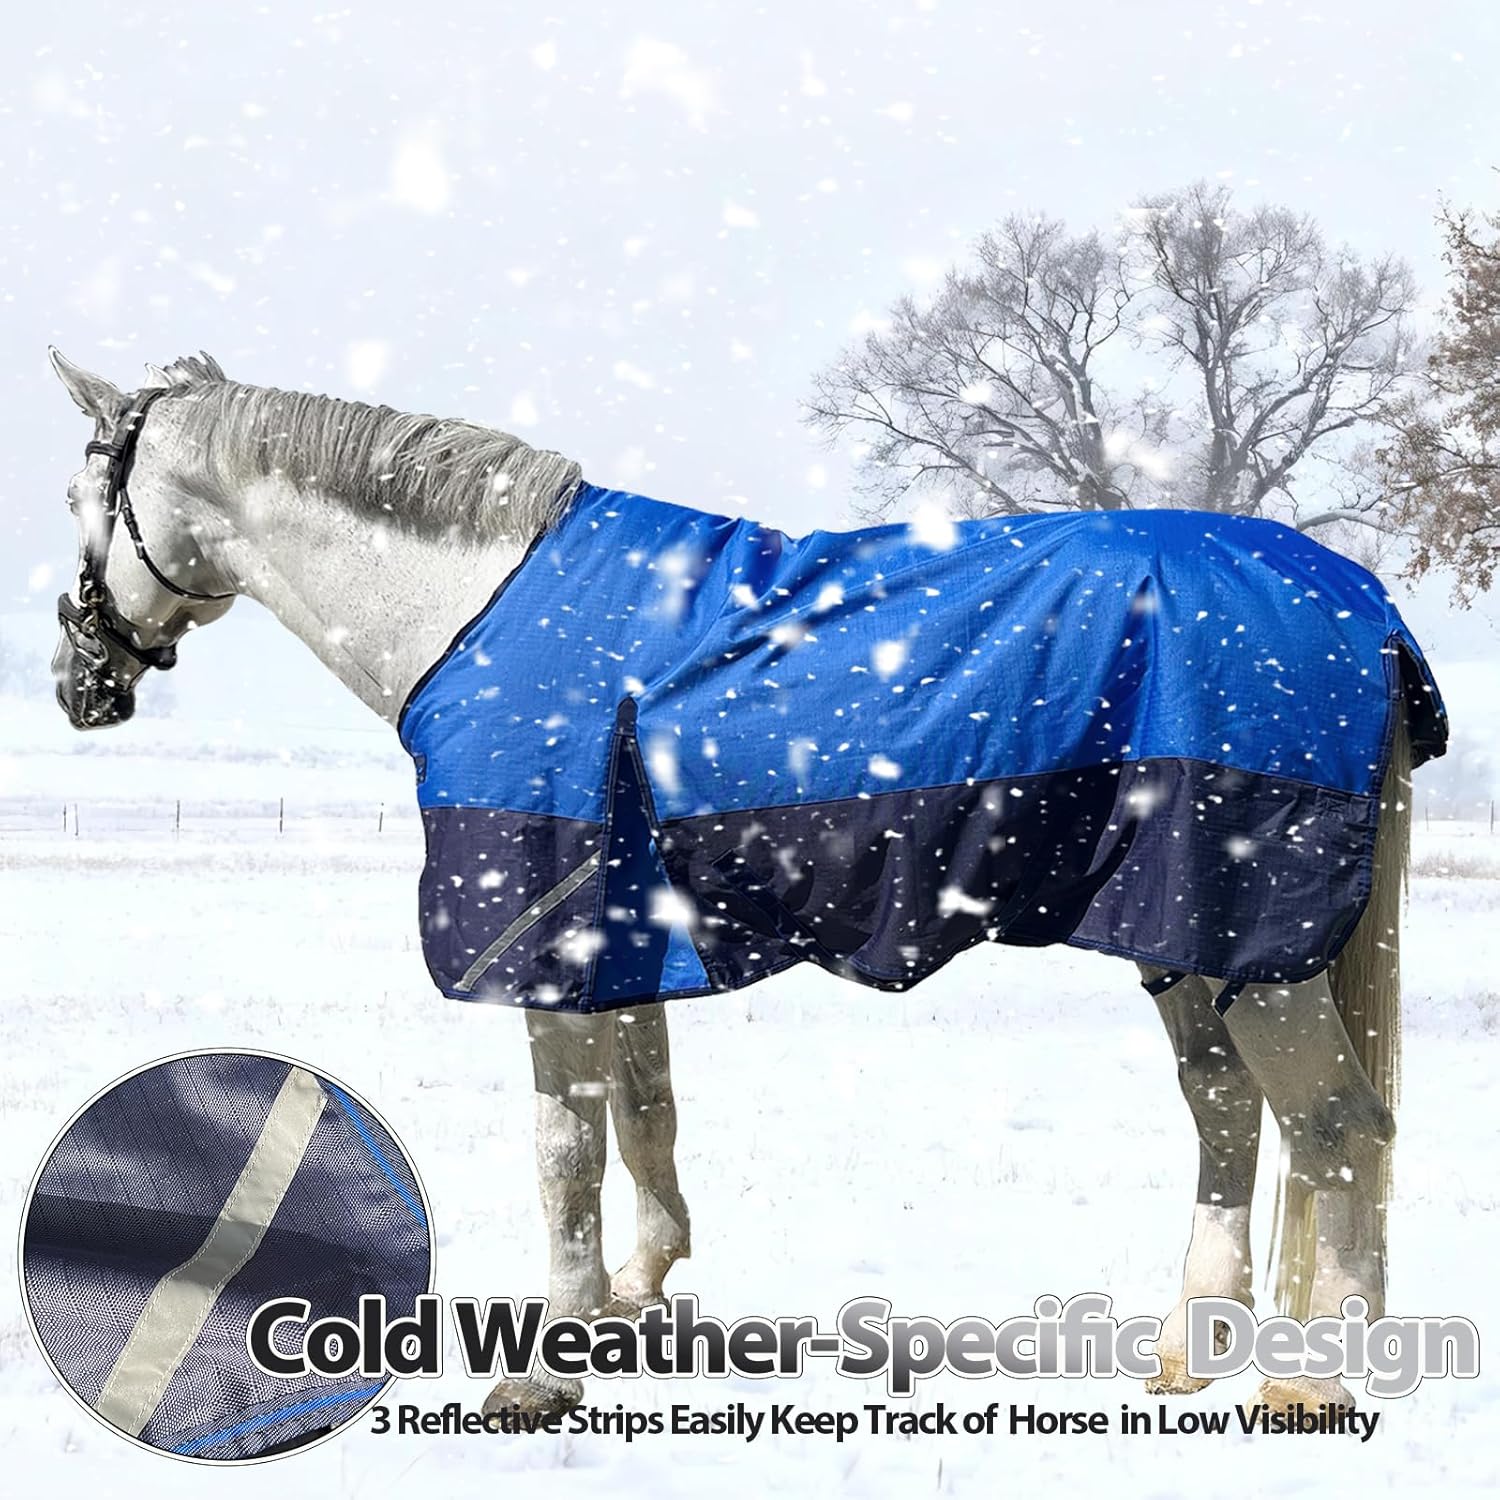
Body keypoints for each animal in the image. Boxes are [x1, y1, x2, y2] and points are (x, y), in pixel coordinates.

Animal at [48, 348, 1426, 1419]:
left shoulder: (548, 940)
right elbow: (644, 1112)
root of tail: (1363, 604)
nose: (77, 682)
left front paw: (539, 1373)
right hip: (1183, 939)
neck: (475, 609)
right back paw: (1193, 1352)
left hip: (1255, 943)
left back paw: (1315, 1381)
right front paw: (635, 1301)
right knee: (1228, 1114)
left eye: (77, 494)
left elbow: (563, 1147)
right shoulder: (623, 946)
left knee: (1337, 1128)